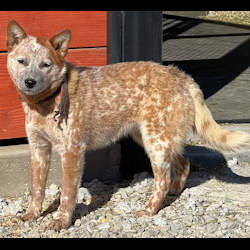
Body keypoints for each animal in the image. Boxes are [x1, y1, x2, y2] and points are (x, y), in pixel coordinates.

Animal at [6, 20, 250, 231]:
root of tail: (179, 74)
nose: (30, 82)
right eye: (22, 61)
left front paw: (61, 221)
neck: (45, 104)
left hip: (155, 143)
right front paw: (31, 214)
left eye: (45, 65)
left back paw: (150, 209)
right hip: (151, 137)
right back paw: (173, 194)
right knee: (183, 163)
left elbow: (67, 193)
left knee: (163, 179)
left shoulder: (72, 151)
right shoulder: (38, 148)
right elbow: (37, 188)